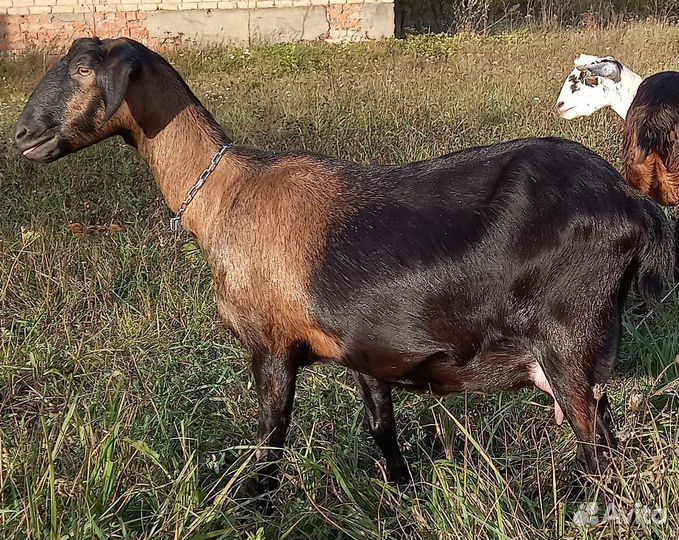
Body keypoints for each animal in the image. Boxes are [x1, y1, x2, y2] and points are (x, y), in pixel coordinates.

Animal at [15, 38, 674, 487]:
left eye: (83, 70)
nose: (22, 136)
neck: (229, 193)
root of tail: (633, 207)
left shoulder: (272, 347)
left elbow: (271, 446)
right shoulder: (368, 350)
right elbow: (383, 429)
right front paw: (403, 493)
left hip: (569, 345)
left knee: (599, 451)